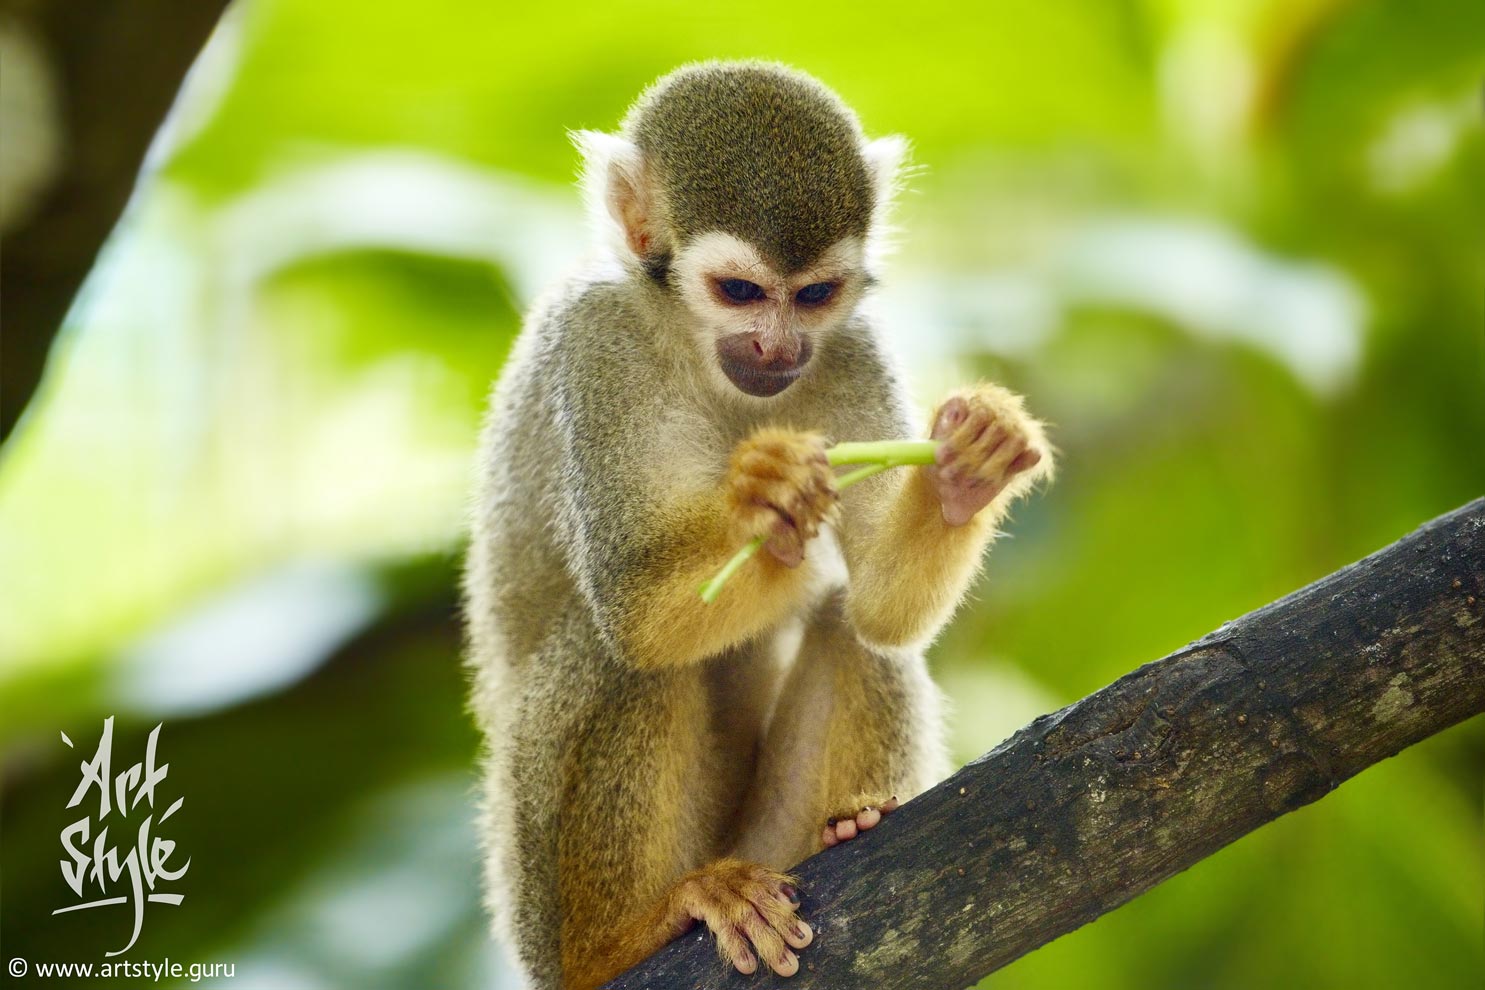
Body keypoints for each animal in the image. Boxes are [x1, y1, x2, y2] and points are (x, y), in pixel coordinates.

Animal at [463, 61, 1053, 990]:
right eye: (739, 291)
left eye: (813, 296)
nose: (778, 351)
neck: (696, 349)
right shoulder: (595, 348)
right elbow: (634, 612)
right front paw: (766, 499)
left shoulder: (849, 345)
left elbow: (881, 608)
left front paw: (967, 467)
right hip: (532, 896)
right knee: (615, 653)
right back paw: (627, 934)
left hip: (764, 841)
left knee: (851, 626)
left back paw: (845, 826)